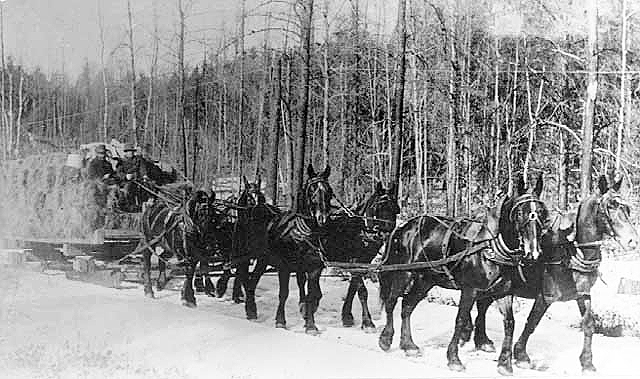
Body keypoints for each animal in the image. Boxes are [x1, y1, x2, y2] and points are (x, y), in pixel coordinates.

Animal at [378, 175, 548, 378]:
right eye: (520, 213)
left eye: (543, 213)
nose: (534, 252)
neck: (491, 247)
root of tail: (403, 227)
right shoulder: (470, 290)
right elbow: (460, 320)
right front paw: (454, 359)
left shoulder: (503, 292)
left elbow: (510, 323)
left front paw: (505, 363)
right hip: (405, 273)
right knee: (392, 302)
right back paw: (386, 339)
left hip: (425, 280)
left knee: (407, 306)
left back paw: (408, 345)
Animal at [464, 175, 636, 374]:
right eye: (610, 207)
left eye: (627, 208)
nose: (632, 240)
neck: (572, 251)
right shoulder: (546, 296)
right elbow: (532, 322)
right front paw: (521, 355)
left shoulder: (582, 294)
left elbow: (589, 325)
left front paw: (587, 363)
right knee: (481, 304)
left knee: (482, 305)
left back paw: (482, 340)